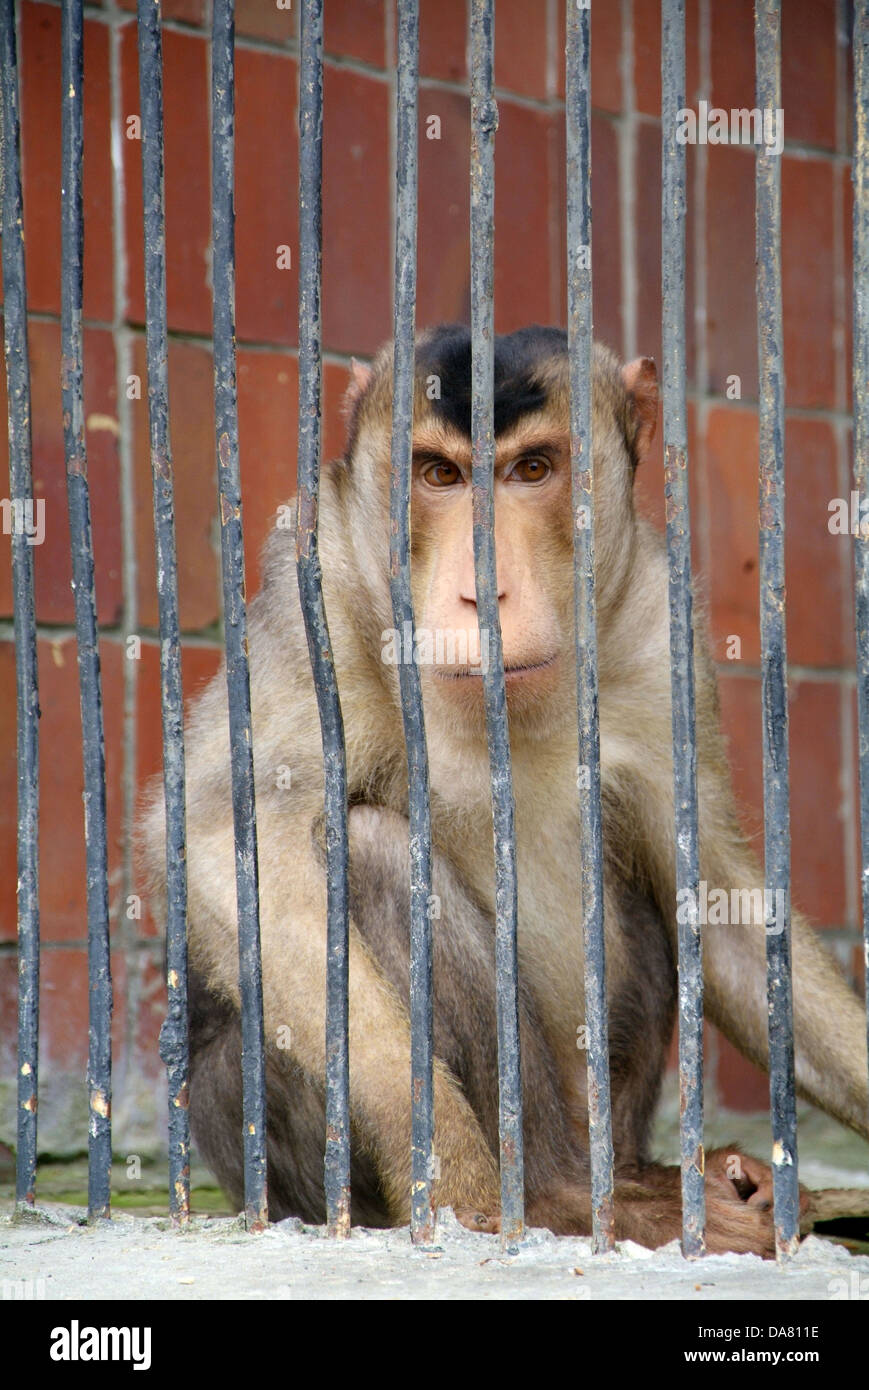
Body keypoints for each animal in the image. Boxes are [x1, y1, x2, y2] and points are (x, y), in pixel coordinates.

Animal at [139, 325, 862, 1262]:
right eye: (439, 476)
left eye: (532, 469)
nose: (482, 590)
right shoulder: (316, 596)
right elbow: (227, 835)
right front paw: (451, 1174)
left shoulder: (660, 624)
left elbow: (717, 894)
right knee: (370, 853)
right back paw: (560, 1197)